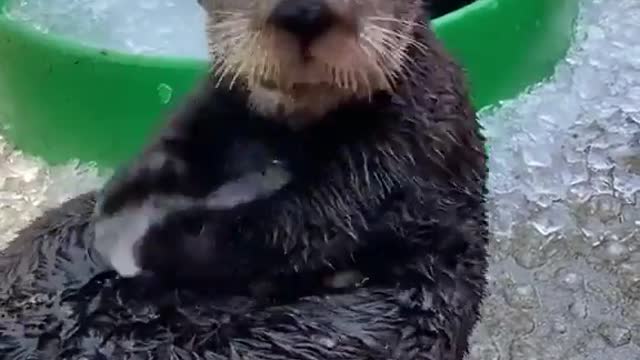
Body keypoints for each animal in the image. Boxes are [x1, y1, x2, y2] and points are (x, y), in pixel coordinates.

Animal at [0, 0, 488, 358]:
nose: (303, 14)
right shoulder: (216, 105)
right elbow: (177, 141)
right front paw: (122, 201)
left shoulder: (405, 144)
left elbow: (310, 221)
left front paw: (152, 240)